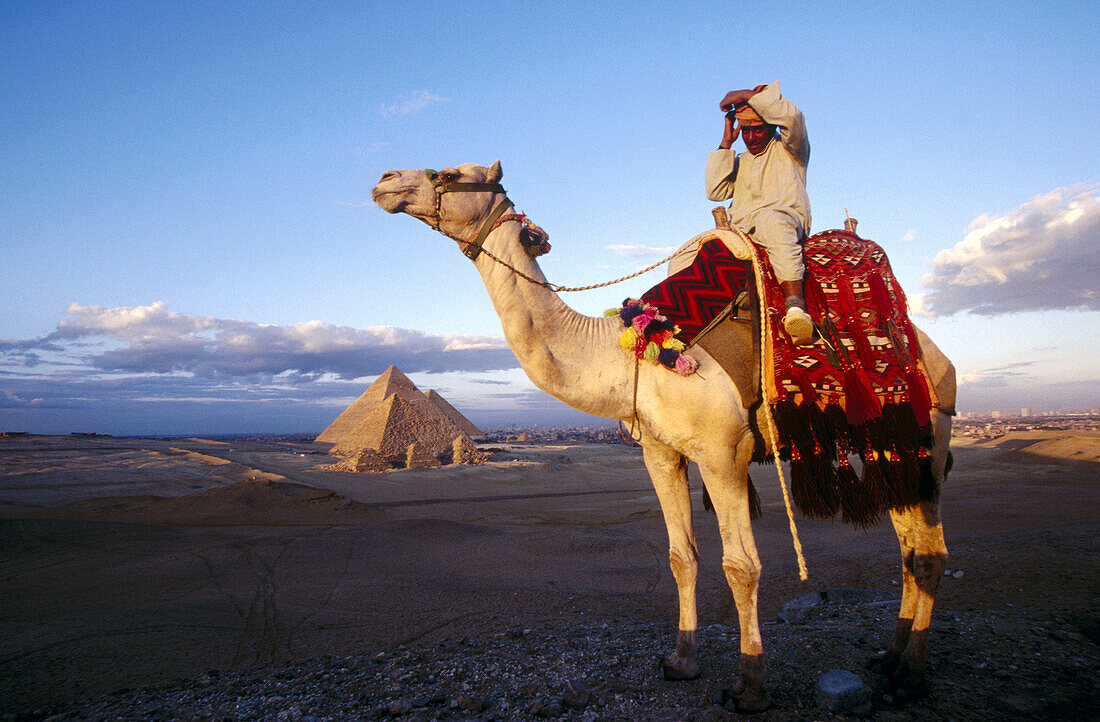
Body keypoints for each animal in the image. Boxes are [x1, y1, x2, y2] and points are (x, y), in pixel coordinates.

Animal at [371, 159, 954, 708]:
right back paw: (889, 658)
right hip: (891, 448)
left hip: (927, 433)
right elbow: (681, 556)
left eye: (449, 173)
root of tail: (935, 355)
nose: (384, 180)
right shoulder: (660, 452)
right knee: (909, 546)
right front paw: (681, 660)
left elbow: (741, 566)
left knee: (928, 552)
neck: (623, 352)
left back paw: (911, 676)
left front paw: (750, 685)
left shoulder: (723, 452)